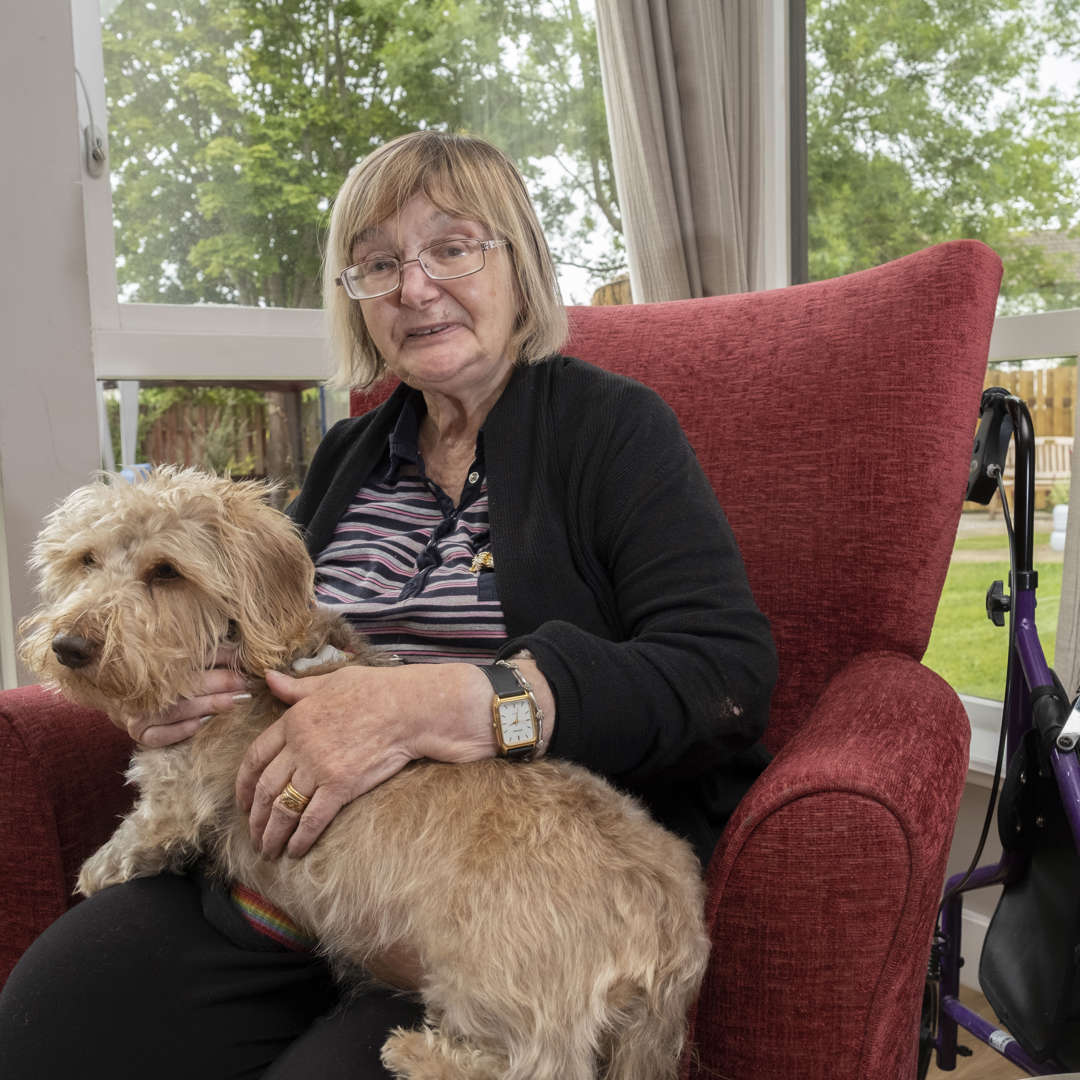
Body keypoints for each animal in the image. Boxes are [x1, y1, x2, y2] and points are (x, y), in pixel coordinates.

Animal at [19, 468, 708, 1075]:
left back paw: (418, 1054)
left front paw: (94, 872)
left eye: (165, 571)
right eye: (85, 560)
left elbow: (137, 833)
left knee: (541, 1067)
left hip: (496, 980)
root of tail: (676, 930)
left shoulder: (175, 800)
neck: (240, 651)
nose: (68, 648)